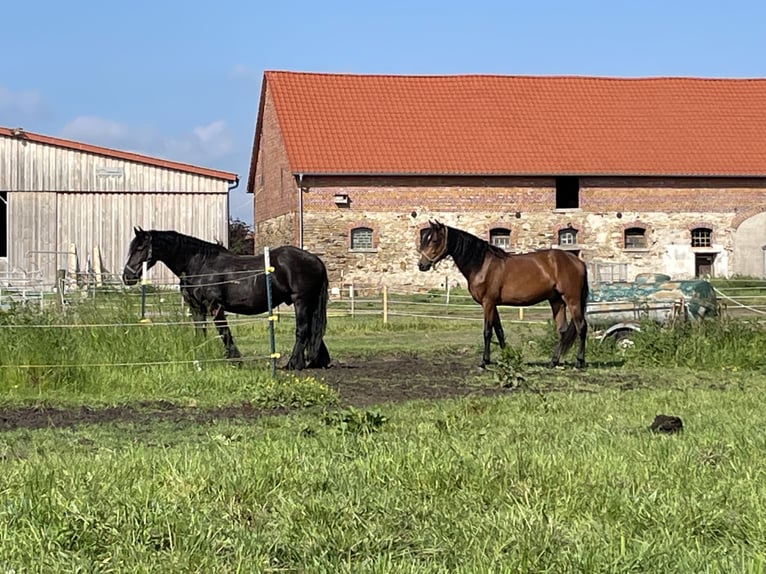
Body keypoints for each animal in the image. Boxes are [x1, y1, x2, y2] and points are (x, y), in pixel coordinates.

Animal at [122, 227, 331, 370]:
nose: (127, 276)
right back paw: (316, 361)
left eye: (141, 248)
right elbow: (201, 332)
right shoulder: (197, 308)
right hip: (309, 303)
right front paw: (200, 356)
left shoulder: (214, 306)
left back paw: (293, 364)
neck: (199, 265)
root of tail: (316, 260)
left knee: (303, 330)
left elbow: (224, 332)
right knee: (313, 331)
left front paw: (234, 359)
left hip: (301, 301)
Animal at [418, 220, 589, 368]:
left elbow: (487, 331)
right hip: (556, 301)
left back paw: (579, 362)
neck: (482, 264)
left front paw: (484, 362)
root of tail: (578, 261)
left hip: (572, 300)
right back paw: (553, 362)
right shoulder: (493, 305)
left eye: (434, 240)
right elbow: (499, 330)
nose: (421, 265)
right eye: (424, 239)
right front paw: (507, 357)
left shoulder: (488, 303)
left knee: (581, 327)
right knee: (562, 330)